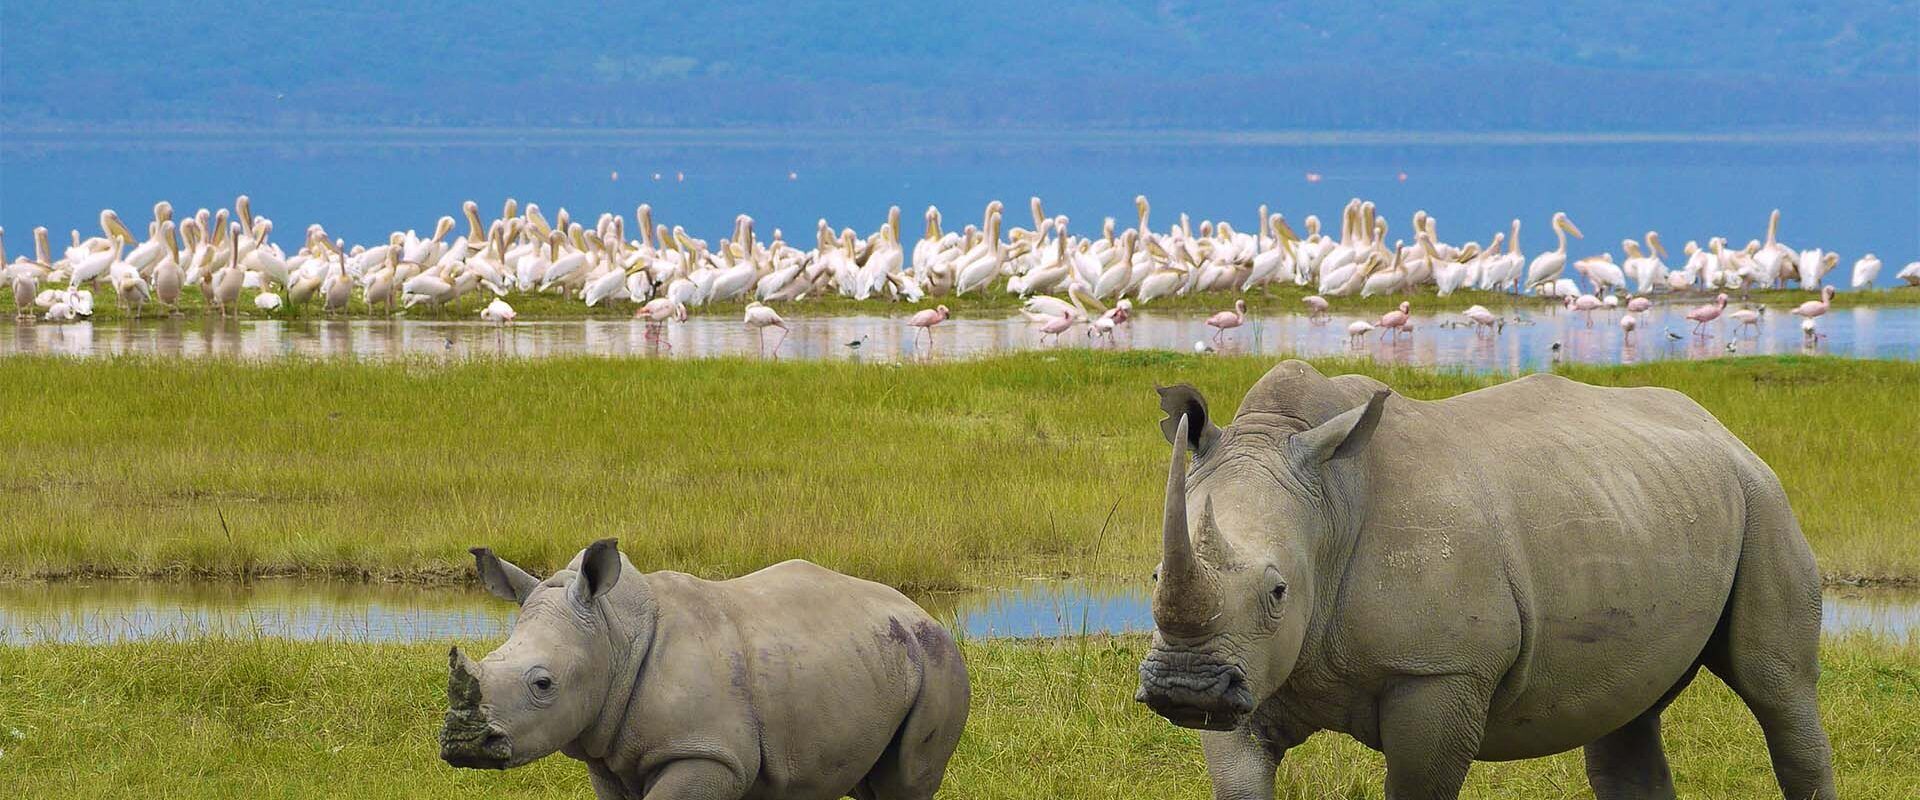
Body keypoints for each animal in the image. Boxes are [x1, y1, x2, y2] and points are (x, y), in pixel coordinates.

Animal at [439, 541, 967, 794]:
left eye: (543, 684)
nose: (462, 744)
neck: (613, 636)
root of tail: (922, 612)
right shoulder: (607, 756)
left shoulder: (706, 752)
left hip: (939, 661)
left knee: (908, 780)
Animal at [1128, 362, 1835, 798]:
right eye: (1156, 573)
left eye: (1278, 592)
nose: (1184, 688)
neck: (1329, 501)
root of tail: (1721, 428)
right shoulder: (1248, 670)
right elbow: (1238, 774)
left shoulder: (1441, 671)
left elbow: (1418, 785)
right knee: (1631, 707)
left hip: (1764, 499)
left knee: (1777, 688)